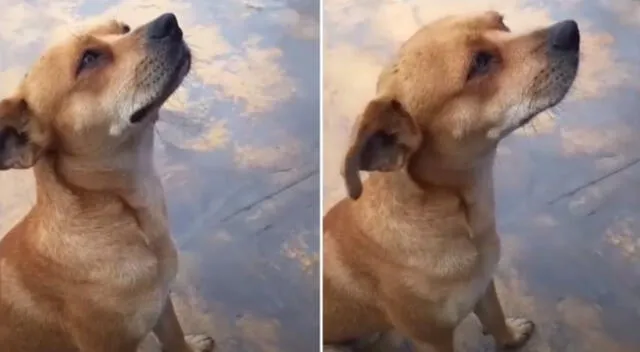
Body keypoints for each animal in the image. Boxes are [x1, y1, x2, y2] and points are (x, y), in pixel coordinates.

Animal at [324, 11, 580, 352]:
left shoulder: (483, 287)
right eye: (480, 63)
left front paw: (510, 338)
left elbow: (495, 319)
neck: (460, 213)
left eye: (501, 23)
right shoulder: (432, 338)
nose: (571, 30)